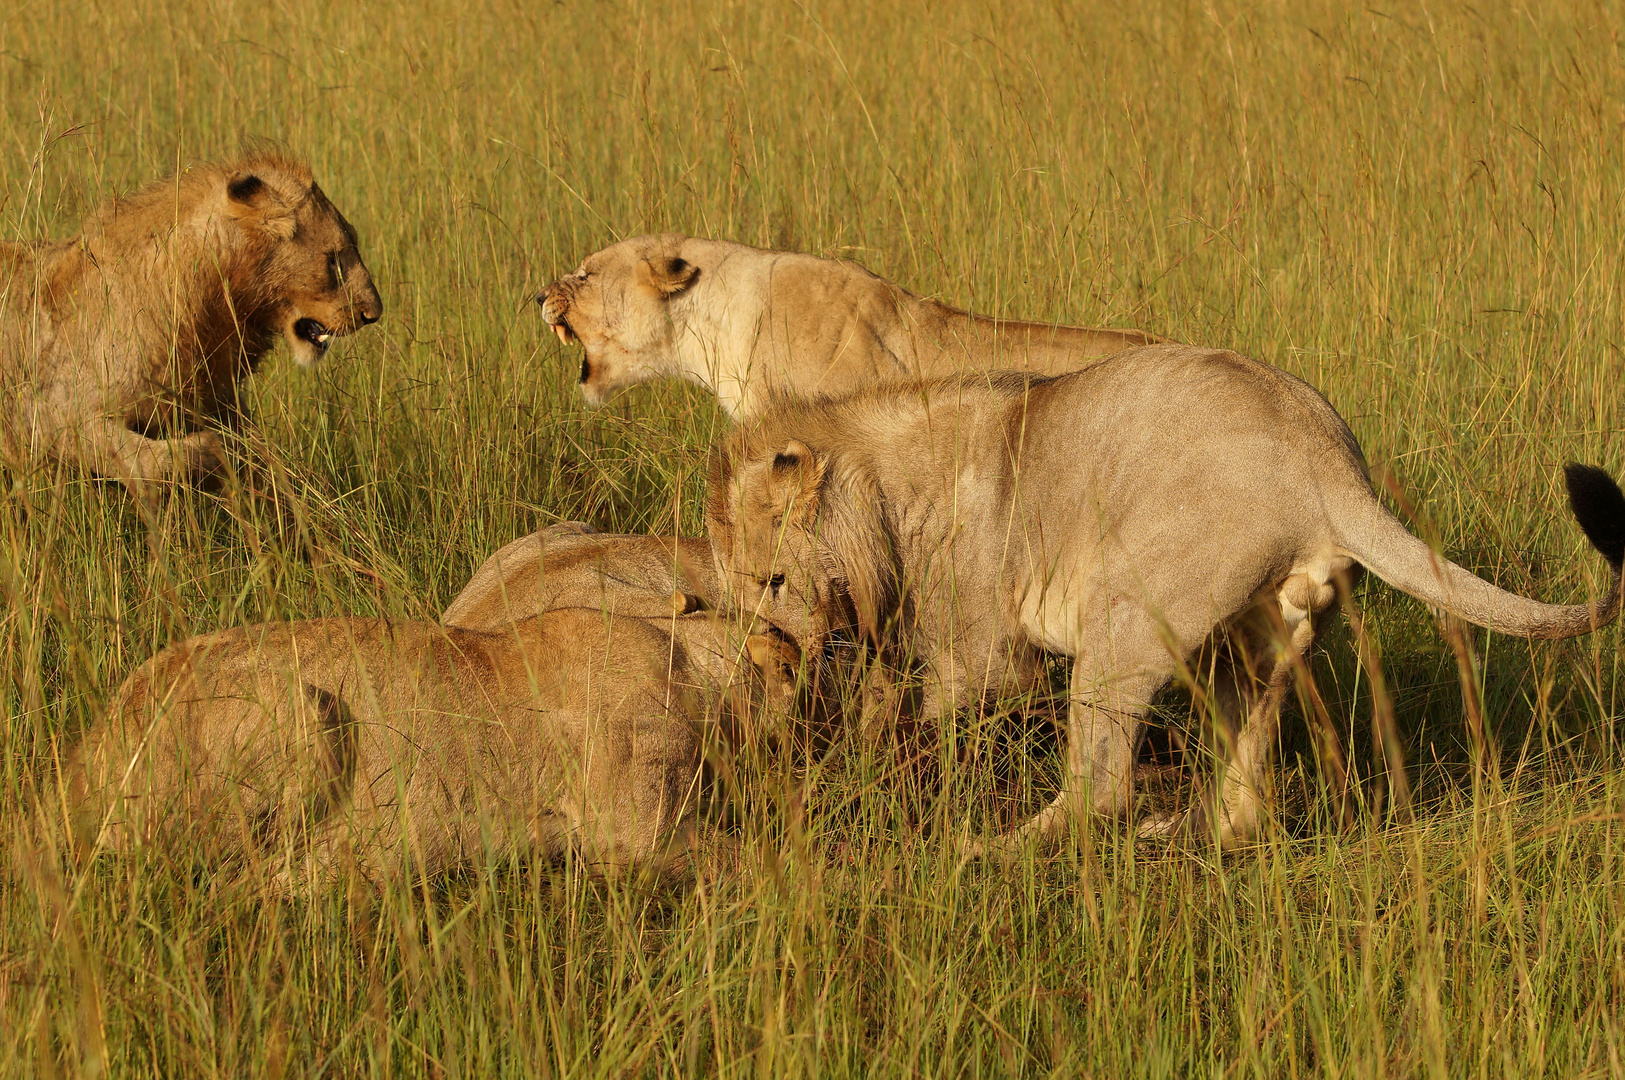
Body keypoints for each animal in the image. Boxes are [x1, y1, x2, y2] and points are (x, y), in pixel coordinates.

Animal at [0, 151, 383, 500]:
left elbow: (271, 470)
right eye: (333, 258)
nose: (373, 313)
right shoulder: (50, 418)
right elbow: (173, 459)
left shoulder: (222, 403)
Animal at [711, 345, 1625, 851]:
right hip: (1257, 642)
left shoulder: (977, 653)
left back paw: (996, 850)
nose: (765, 652)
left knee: (1100, 787)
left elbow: (906, 718)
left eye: (771, 580)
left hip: (1121, 618)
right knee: (1245, 792)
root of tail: (1326, 463)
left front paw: (848, 782)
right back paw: (1193, 833)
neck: (883, 493)